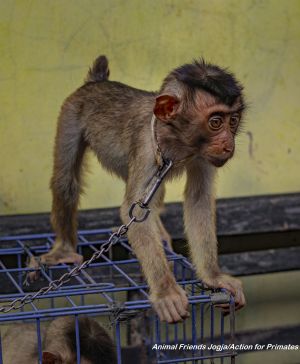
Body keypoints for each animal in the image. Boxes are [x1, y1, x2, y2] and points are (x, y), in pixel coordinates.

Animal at [34, 55, 246, 322]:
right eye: (216, 122)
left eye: (233, 121)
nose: (229, 145)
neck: (174, 139)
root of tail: (97, 82)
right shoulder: (146, 147)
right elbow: (133, 210)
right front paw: (166, 292)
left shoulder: (202, 154)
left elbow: (198, 200)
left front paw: (213, 276)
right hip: (71, 111)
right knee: (66, 181)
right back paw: (63, 250)